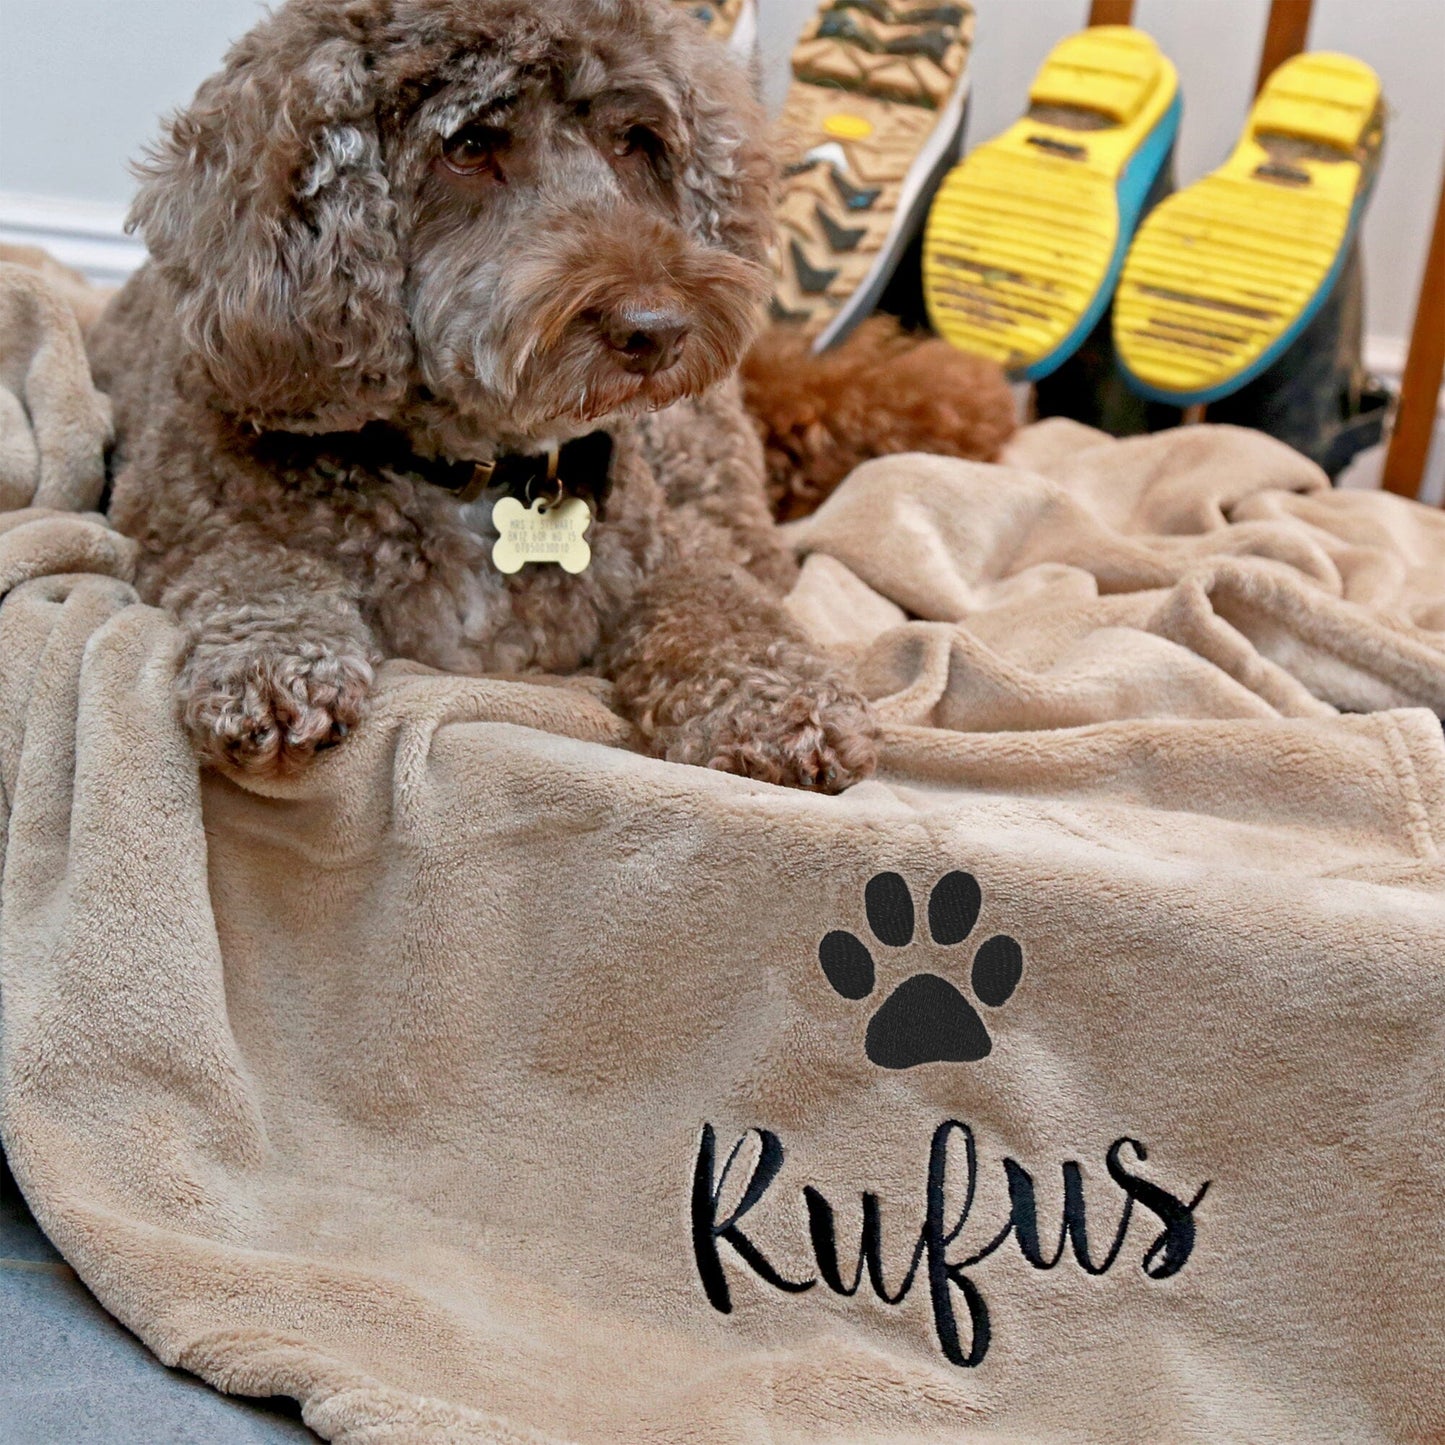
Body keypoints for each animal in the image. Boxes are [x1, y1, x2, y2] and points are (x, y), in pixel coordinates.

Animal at [90, 0, 890, 791]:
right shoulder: (173, 513)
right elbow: (255, 561)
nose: (658, 330)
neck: (475, 470)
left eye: (634, 141)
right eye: (469, 147)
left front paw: (776, 699)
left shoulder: (662, 546)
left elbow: (716, 599)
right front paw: (275, 665)